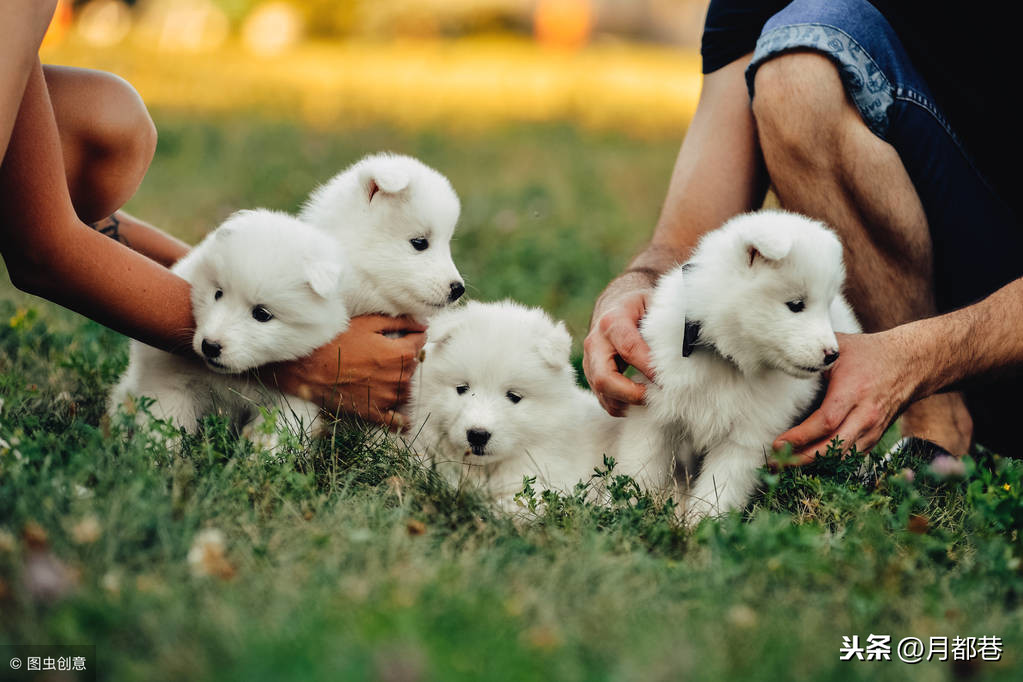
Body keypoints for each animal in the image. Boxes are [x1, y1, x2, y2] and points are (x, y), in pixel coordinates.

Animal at [105, 209, 349, 443]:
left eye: (262, 314)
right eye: (218, 293)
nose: (210, 346)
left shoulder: (290, 402)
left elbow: (273, 439)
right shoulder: (172, 383)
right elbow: (166, 424)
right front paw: (156, 454)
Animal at [613, 210, 863, 527]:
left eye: (826, 306)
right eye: (796, 304)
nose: (833, 355)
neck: (726, 359)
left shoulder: (745, 439)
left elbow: (718, 489)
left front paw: (701, 527)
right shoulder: (654, 414)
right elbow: (638, 468)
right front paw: (620, 511)